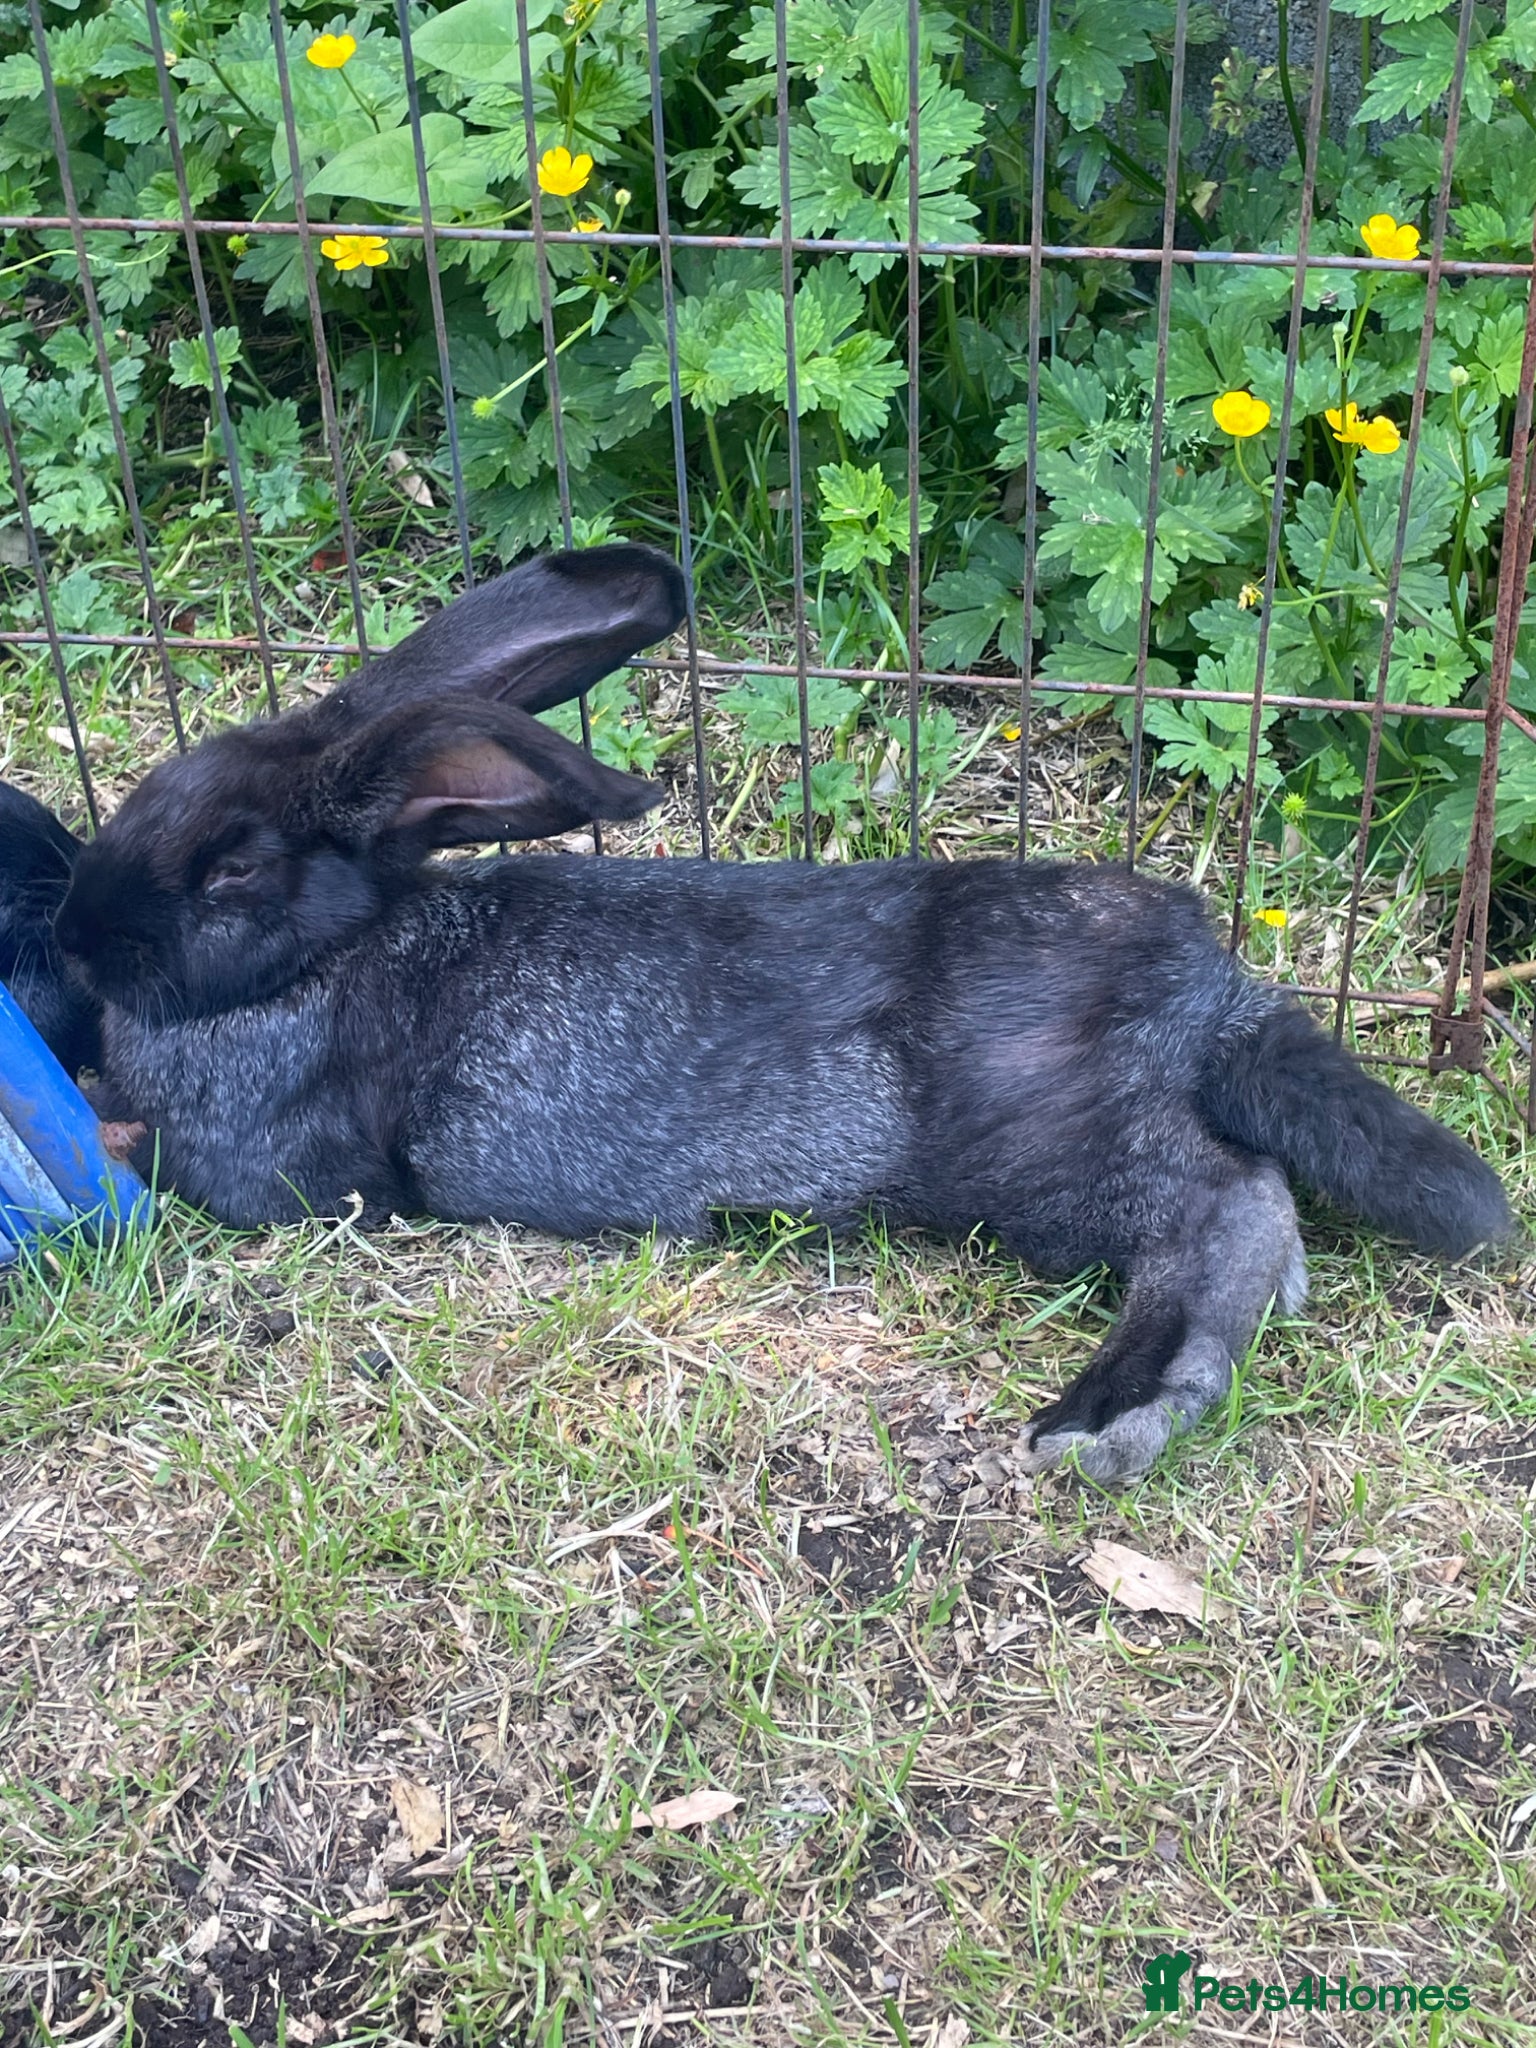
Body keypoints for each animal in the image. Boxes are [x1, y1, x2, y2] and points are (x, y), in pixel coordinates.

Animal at [20, 540, 1512, 1483]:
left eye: (228, 870)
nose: (77, 937)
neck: (329, 955)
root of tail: (1209, 981)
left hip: (1034, 1142)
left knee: (1224, 1207)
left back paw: (1106, 1420)